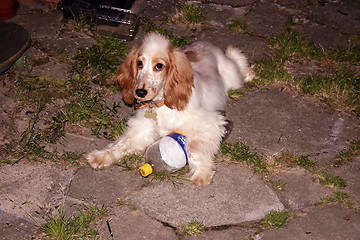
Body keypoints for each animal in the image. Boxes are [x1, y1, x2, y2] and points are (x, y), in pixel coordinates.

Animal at [86, 32, 255, 186]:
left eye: (159, 66)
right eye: (139, 63)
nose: (140, 92)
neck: (160, 105)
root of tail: (203, 42)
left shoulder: (211, 122)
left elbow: (194, 148)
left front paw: (202, 174)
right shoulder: (142, 130)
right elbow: (120, 144)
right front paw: (100, 156)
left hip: (232, 78)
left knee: (236, 61)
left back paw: (248, 72)